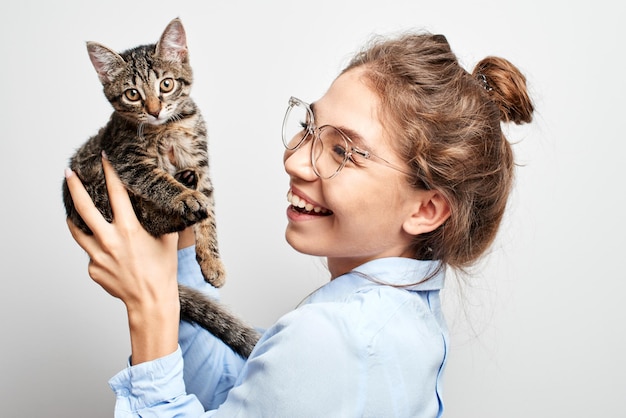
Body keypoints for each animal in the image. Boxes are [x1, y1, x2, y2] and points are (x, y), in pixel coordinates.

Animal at [62, 18, 258, 358]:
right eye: (131, 94)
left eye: (166, 85)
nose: (154, 110)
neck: (167, 128)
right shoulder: (125, 160)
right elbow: (158, 181)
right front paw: (184, 196)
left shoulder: (201, 163)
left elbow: (210, 215)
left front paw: (212, 261)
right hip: (94, 181)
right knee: (148, 219)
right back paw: (182, 207)